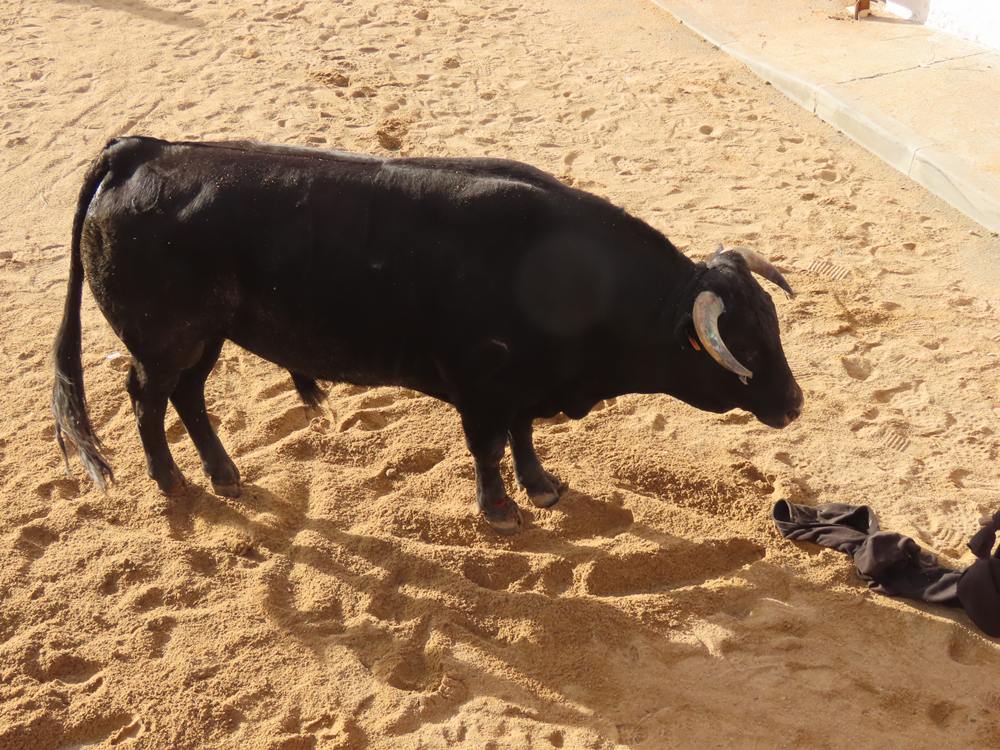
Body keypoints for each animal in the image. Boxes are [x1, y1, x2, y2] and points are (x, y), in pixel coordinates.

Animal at [54, 137, 804, 536]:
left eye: (771, 324)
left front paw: (541, 486)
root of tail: (144, 151)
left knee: (189, 397)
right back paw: (172, 480)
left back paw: (223, 473)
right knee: (147, 398)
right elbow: (489, 446)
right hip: (164, 339)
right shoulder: (482, 386)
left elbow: (524, 438)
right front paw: (499, 510)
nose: (794, 404)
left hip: (206, 337)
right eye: (742, 346)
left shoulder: (524, 386)